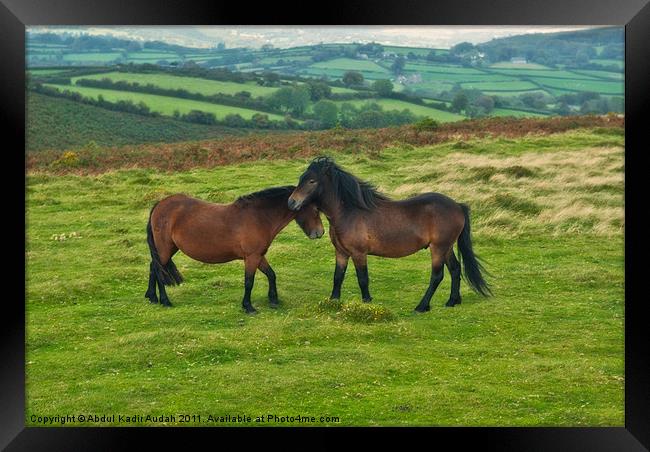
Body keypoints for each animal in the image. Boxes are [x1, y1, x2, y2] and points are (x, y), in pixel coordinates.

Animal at [144, 185, 322, 312]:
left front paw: (273, 300)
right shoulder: (251, 257)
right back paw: (165, 301)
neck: (259, 217)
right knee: (159, 270)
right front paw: (248, 306)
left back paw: (152, 297)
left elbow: (271, 275)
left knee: (153, 267)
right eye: (315, 209)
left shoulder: (259, 256)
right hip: (165, 248)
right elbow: (249, 282)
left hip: (169, 249)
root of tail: (160, 205)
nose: (320, 232)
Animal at [286, 158, 488, 310]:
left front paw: (367, 302)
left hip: (438, 248)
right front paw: (333, 301)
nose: (291, 202)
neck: (349, 212)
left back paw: (422, 306)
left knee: (437, 276)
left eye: (312, 181)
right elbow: (338, 277)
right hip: (446, 247)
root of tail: (458, 206)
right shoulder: (341, 253)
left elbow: (363, 279)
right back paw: (452, 301)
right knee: (455, 269)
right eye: (302, 178)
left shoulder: (359, 254)